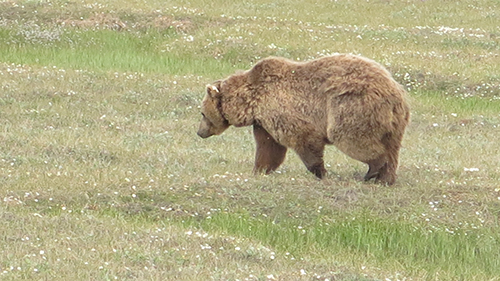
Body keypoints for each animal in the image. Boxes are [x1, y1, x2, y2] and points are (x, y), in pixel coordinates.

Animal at [196, 53, 410, 185]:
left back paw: (373, 170)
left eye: (202, 113)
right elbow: (268, 148)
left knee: (350, 137)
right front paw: (259, 170)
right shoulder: (264, 122)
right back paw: (385, 178)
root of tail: (395, 91)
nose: (199, 132)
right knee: (392, 148)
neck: (251, 101)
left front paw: (320, 172)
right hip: (395, 124)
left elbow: (304, 141)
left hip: (352, 107)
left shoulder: (285, 110)